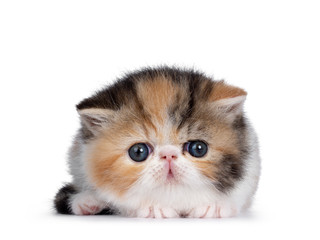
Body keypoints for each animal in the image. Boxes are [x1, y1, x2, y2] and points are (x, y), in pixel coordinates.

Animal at [54, 67, 260, 218]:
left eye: (198, 148)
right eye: (138, 152)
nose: (168, 155)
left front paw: (214, 206)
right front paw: (153, 208)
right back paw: (86, 201)